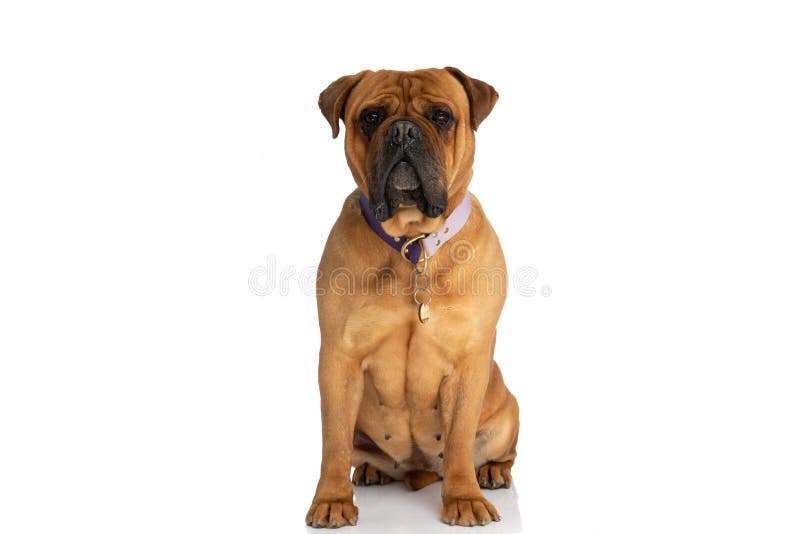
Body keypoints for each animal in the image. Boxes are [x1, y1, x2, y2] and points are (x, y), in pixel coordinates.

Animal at [304, 66, 520, 528]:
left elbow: (458, 441)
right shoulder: (338, 358)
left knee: (500, 452)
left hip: (507, 411)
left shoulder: (469, 362)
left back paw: (492, 473)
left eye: (441, 116)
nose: (402, 130)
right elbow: (333, 442)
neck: (412, 243)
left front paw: (464, 497)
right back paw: (370, 470)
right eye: (371, 117)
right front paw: (332, 500)